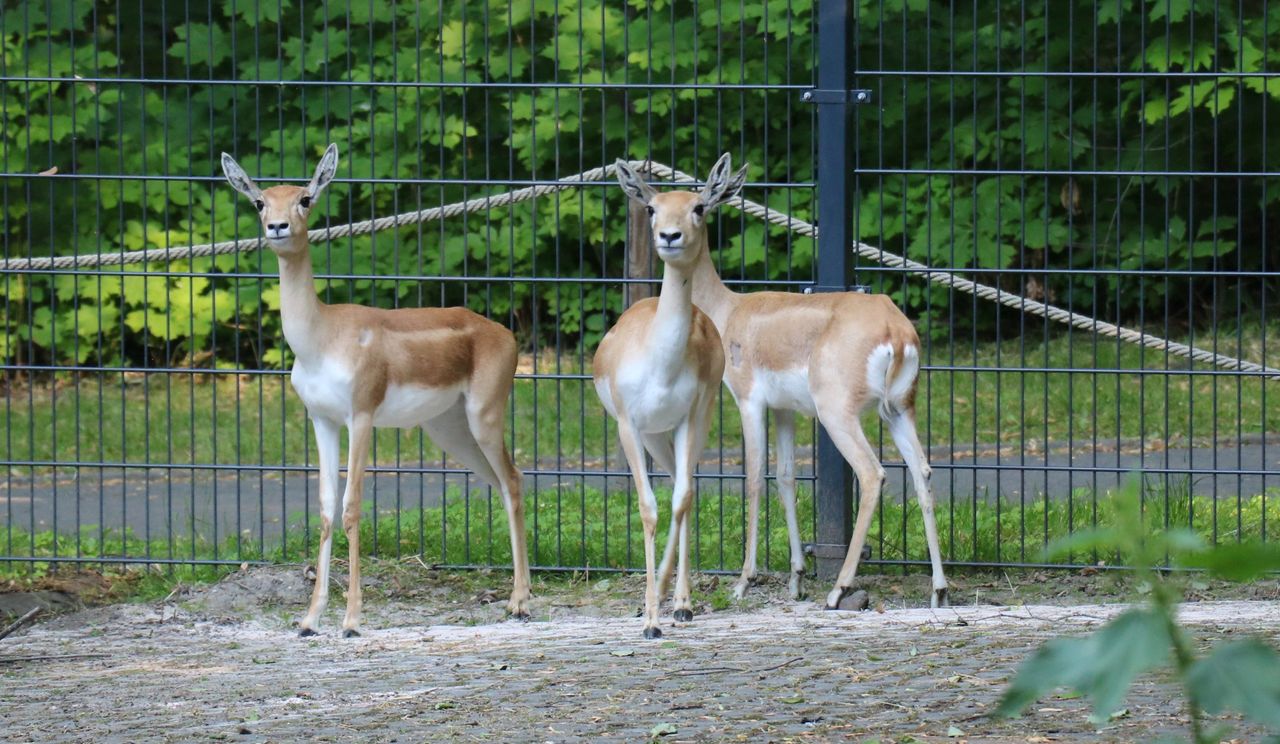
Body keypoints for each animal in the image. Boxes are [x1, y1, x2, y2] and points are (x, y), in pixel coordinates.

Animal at [222, 146, 532, 637]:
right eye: (259, 201)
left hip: (484, 415)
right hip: (449, 430)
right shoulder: (322, 420)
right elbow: (326, 509)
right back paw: (514, 598)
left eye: (305, 198)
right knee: (502, 482)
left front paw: (351, 620)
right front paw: (309, 619)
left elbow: (351, 508)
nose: (278, 227)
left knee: (515, 480)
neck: (321, 337)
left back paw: (520, 602)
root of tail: (503, 332)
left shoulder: (361, 416)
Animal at [596, 159, 732, 635]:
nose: (670, 236)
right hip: (656, 436)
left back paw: (680, 601)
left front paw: (674, 607)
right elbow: (649, 507)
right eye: (652, 208)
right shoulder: (628, 425)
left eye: (698, 207)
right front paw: (650, 619)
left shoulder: (692, 416)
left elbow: (682, 499)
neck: (660, 360)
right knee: (674, 485)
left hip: (691, 425)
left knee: (684, 488)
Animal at [680, 152, 952, 609]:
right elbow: (787, 477)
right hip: (898, 410)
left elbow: (754, 477)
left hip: (837, 414)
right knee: (923, 471)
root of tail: (895, 329)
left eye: (698, 207)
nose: (670, 235)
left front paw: (744, 581)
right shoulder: (785, 411)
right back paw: (939, 589)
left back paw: (839, 589)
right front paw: (796, 579)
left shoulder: (749, 401)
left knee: (873, 474)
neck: (730, 311)